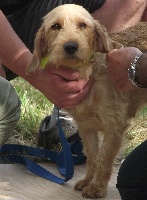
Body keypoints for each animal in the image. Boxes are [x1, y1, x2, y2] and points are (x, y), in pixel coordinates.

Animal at [26, 4, 147, 198]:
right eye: (55, 26)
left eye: (83, 25)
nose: (70, 47)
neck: (86, 72)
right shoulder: (86, 127)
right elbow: (92, 156)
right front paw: (88, 180)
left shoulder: (114, 126)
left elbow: (104, 158)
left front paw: (97, 187)